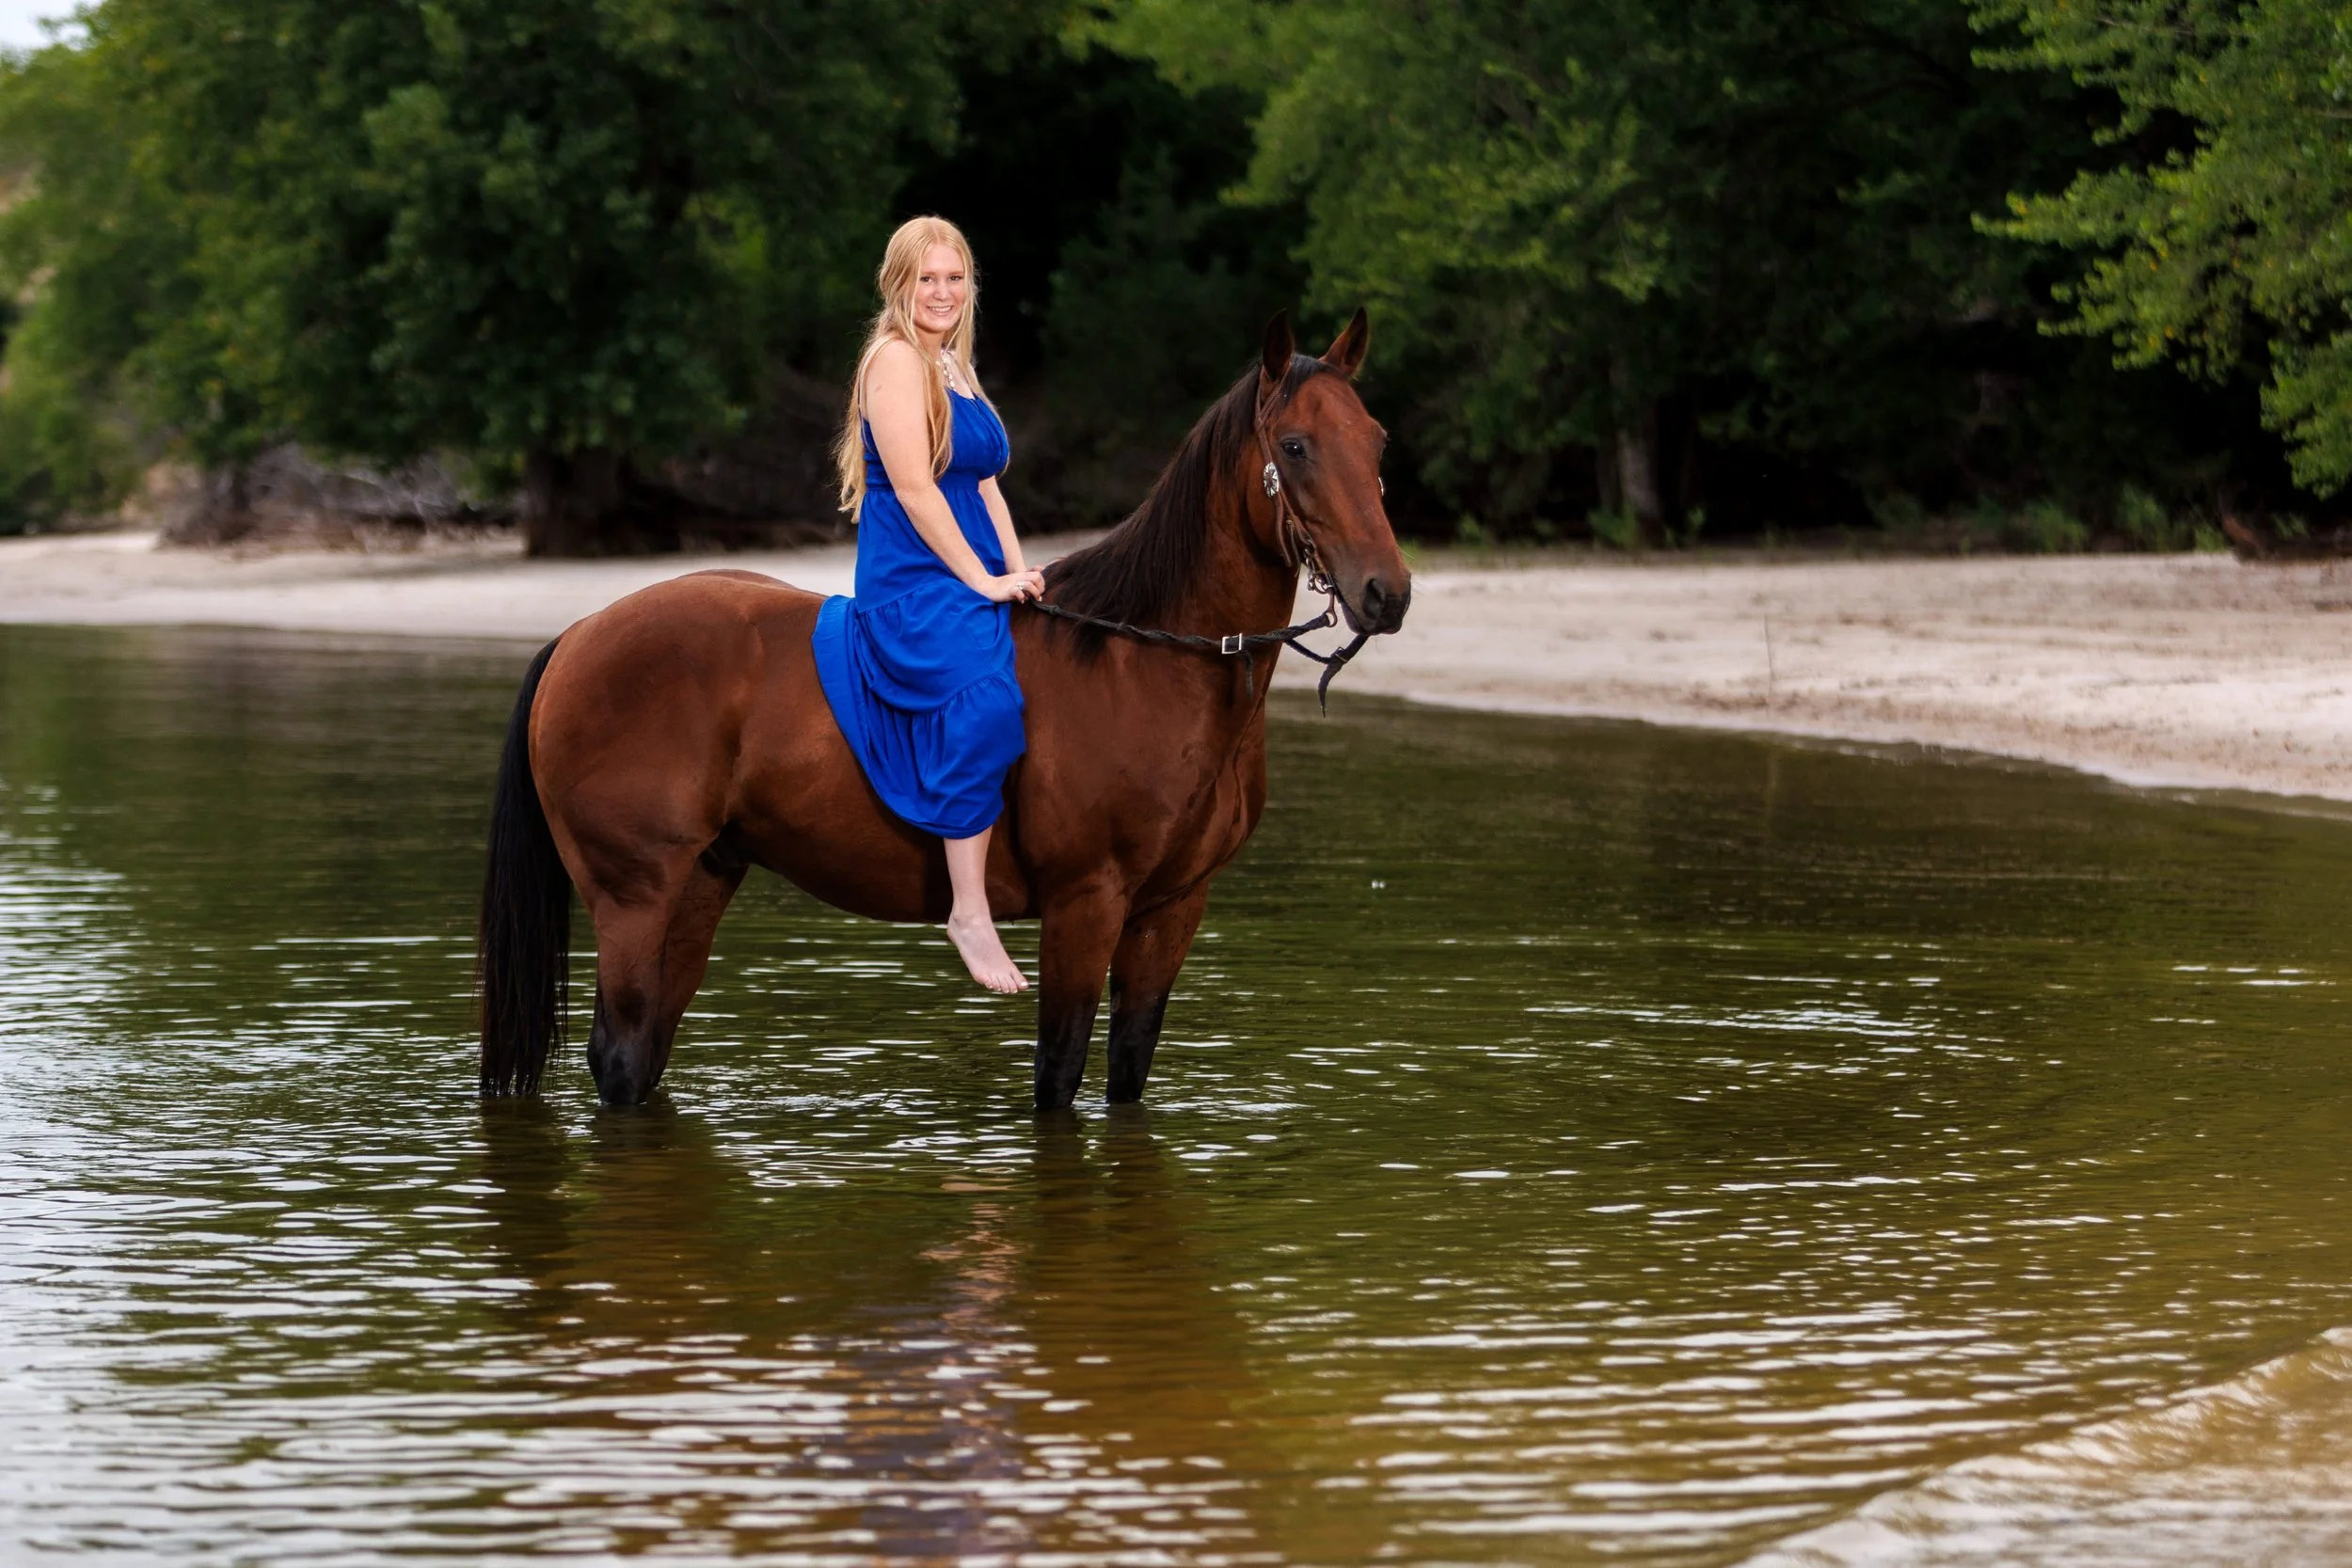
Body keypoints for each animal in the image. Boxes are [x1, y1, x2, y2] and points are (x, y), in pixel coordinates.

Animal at [477, 309, 1411, 1111]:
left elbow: (1128, 1071)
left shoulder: (1172, 910)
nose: (1387, 593)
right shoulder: (1087, 904)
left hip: (698, 886)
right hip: (633, 897)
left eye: (1375, 441)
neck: (1146, 661)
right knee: (621, 1053)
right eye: (1295, 444)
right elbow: (1059, 1076)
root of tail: (580, 633)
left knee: (642, 1055)